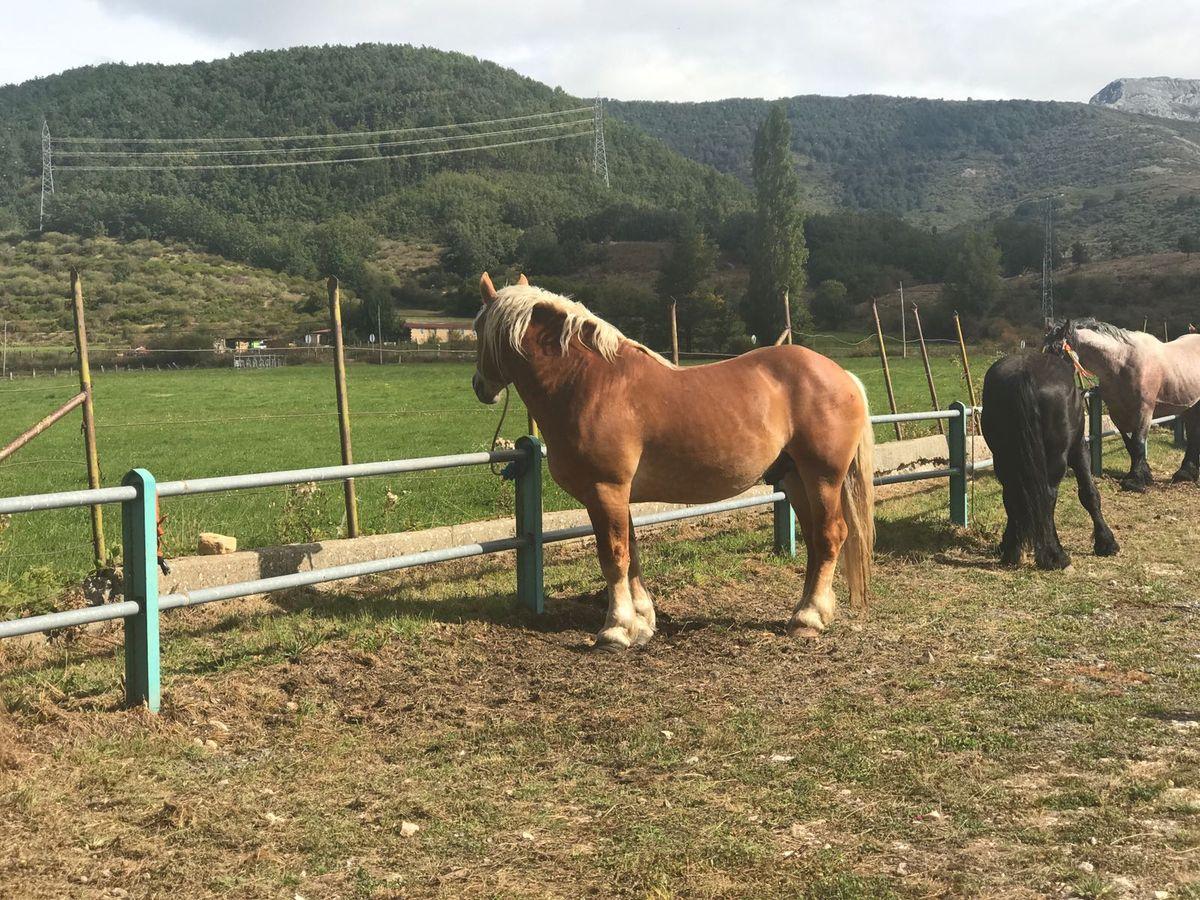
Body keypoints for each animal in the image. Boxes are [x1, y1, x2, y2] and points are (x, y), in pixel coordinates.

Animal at [468, 271, 873, 652]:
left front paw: (616, 630)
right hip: (794, 479)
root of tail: (843, 376)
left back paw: (809, 619)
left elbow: (613, 556)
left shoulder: (605, 490)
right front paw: (642, 623)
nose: (479, 386)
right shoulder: (619, 496)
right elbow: (631, 553)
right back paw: (806, 612)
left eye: (476, 328)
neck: (589, 383)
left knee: (830, 536)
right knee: (815, 541)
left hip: (822, 478)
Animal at [979, 355, 1118, 571]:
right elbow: (1089, 494)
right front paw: (1106, 542)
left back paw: (1012, 551)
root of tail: (1024, 373)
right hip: (1056, 457)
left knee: (1012, 494)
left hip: (1003, 458)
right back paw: (1055, 556)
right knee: (1047, 496)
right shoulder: (1079, 449)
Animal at [1046, 321, 1200, 494]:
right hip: (1189, 406)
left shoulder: (1144, 411)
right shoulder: (1117, 413)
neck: (1122, 363)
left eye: (1057, 350)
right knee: (1193, 434)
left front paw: (1135, 482)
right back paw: (1185, 473)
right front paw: (1144, 476)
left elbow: (1138, 443)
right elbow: (1130, 445)